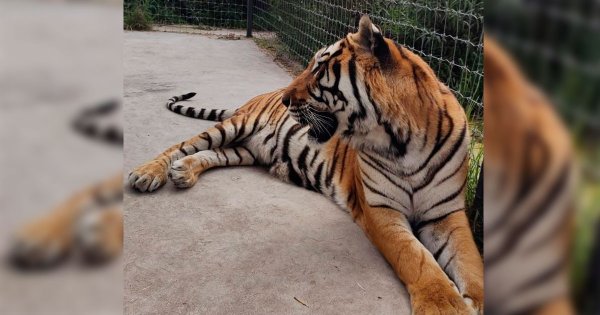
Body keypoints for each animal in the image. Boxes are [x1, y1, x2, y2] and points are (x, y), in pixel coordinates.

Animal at [130, 16, 482, 314]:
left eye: (319, 68)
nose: (286, 99)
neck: (403, 139)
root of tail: (250, 101)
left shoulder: (446, 214)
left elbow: (471, 262)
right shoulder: (381, 210)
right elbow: (415, 258)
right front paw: (445, 305)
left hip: (245, 150)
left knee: (212, 154)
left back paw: (184, 172)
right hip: (236, 126)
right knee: (182, 145)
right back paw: (147, 174)